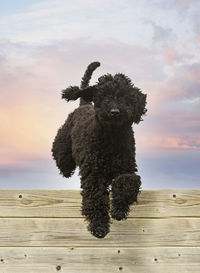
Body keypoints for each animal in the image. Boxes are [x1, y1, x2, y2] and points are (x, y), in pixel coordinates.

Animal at [52, 61, 147, 236]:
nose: (114, 112)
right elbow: (95, 199)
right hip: (63, 143)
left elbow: (128, 182)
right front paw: (99, 226)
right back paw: (66, 169)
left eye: (125, 97)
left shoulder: (127, 168)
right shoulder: (94, 174)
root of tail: (84, 104)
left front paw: (118, 209)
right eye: (103, 96)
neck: (111, 138)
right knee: (61, 156)